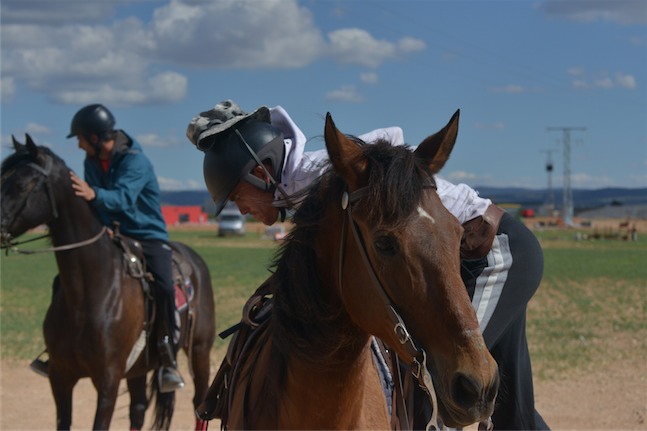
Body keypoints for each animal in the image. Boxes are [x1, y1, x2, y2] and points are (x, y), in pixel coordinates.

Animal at [0, 136, 218, 431]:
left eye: (21, 185)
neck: (88, 293)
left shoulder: (108, 382)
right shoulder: (60, 378)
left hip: (199, 350)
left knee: (198, 403)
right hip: (138, 369)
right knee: (138, 409)